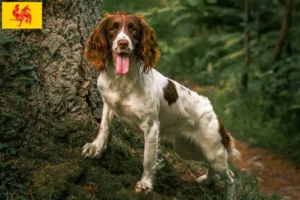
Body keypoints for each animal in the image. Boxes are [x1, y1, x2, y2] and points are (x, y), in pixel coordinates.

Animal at [81, 11, 239, 199]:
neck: (123, 81)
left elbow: (148, 160)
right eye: (113, 28)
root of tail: (213, 112)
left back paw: (228, 194)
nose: (122, 43)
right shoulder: (108, 103)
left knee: (230, 177)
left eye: (133, 30)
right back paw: (207, 179)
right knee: (213, 169)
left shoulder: (151, 128)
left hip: (213, 150)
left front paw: (145, 184)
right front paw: (96, 148)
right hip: (188, 149)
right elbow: (104, 127)